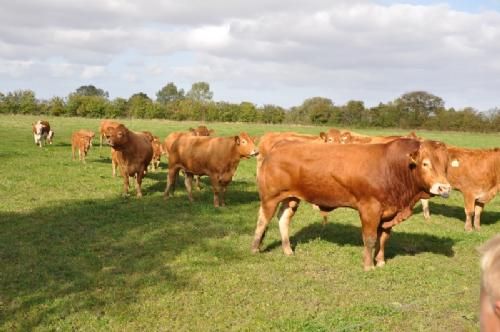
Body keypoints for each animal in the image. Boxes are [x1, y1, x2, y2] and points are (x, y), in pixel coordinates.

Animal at [252, 137, 452, 270]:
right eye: (425, 163)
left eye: (446, 165)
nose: (444, 188)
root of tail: (280, 145)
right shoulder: (370, 209)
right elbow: (370, 238)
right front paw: (368, 266)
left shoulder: (389, 212)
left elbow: (384, 238)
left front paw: (380, 261)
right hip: (270, 197)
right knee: (263, 220)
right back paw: (255, 248)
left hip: (291, 198)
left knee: (283, 219)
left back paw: (287, 250)